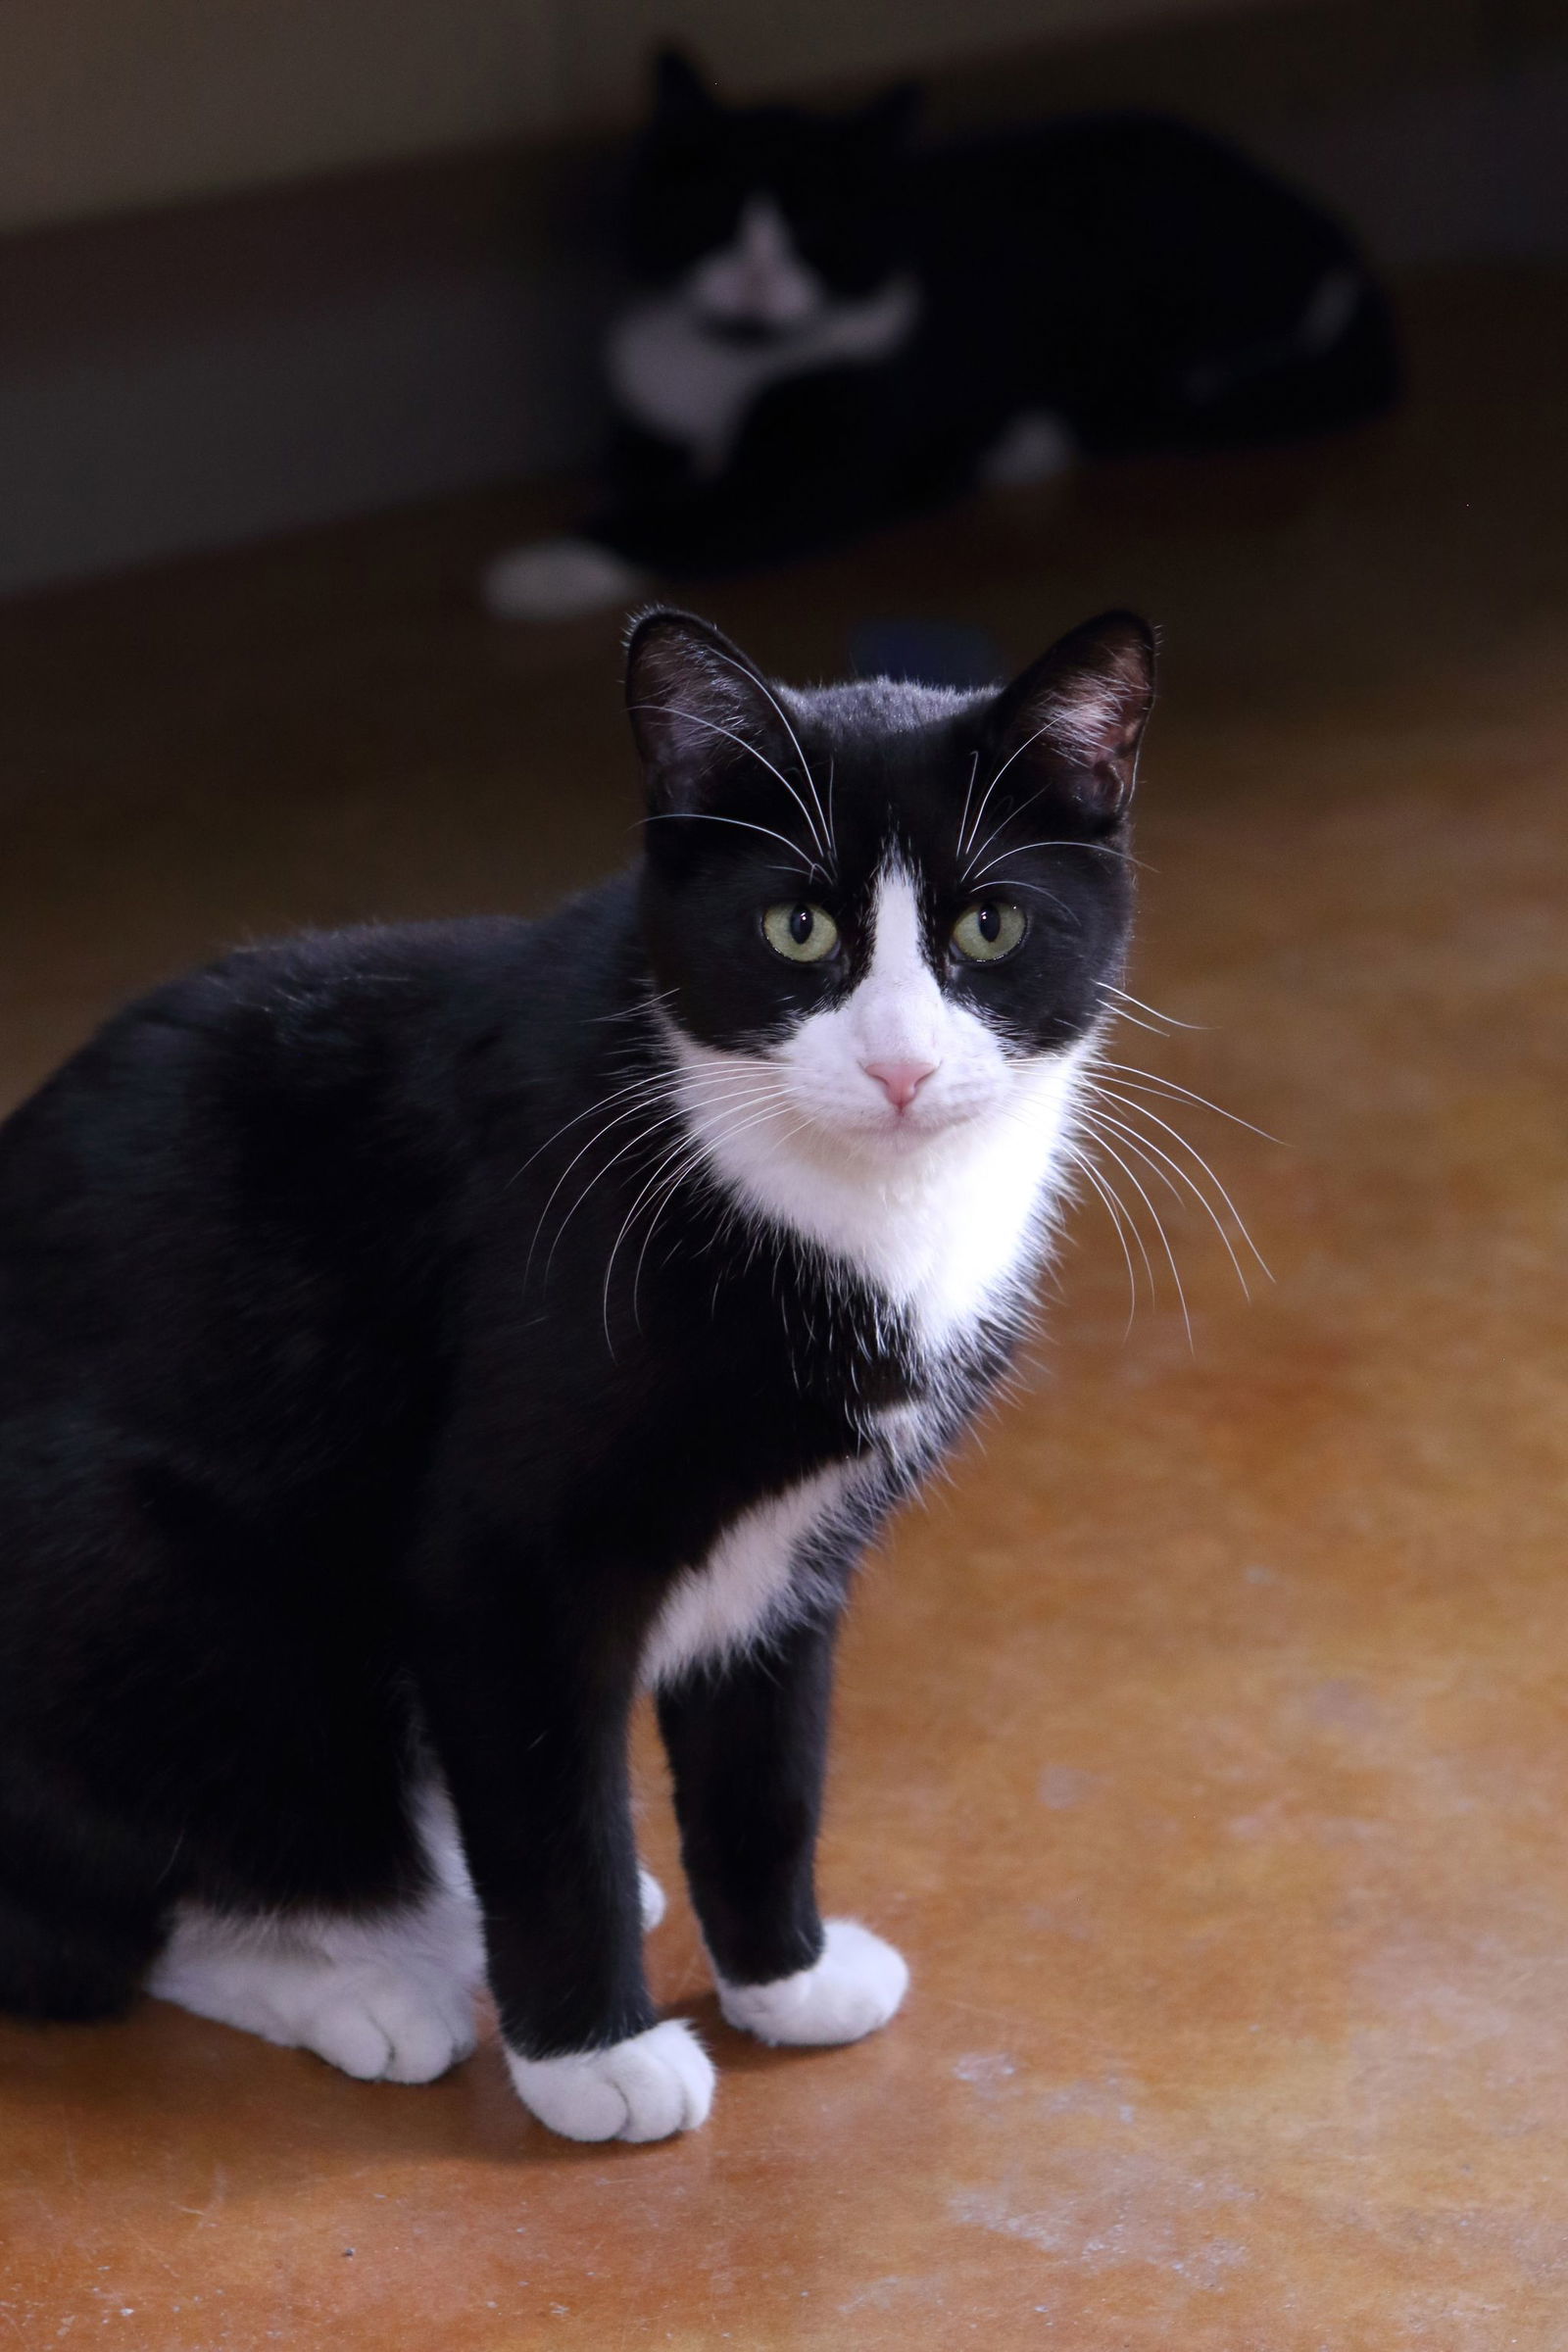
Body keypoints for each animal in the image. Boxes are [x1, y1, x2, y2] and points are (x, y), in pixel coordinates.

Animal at [0, 602, 1152, 2135]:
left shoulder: (793, 1556)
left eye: (990, 924)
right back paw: (364, 1976)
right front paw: (592, 2057)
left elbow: (766, 1770)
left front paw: (784, 1979)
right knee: (112, 1917)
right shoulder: (502, 1565)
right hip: (165, 1591)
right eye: (796, 927)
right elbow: (550, 1809)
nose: (901, 1068)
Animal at [486, 56, 1400, 625]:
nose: (754, 277)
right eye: (714, 213)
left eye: (816, 228)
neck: (732, 361)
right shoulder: (645, 419)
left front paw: (538, 570)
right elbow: (636, 480)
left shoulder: (816, 474)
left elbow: (684, 521)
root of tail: (1337, 246)